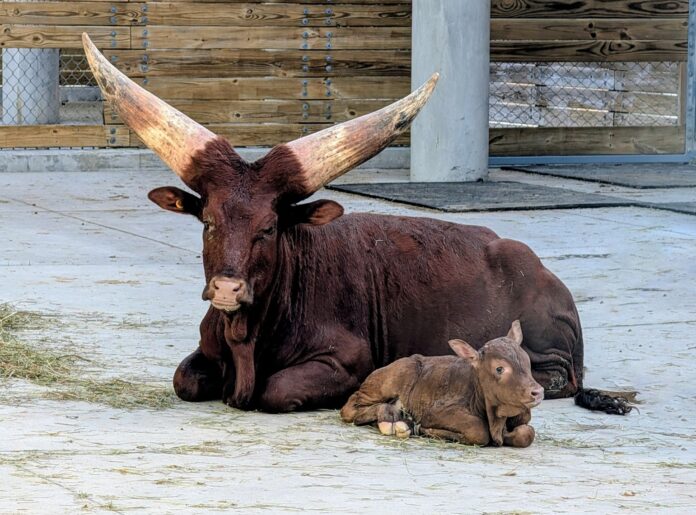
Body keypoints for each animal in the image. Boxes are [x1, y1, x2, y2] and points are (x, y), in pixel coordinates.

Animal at [83, 34, 628, 415]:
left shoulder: (346, 360)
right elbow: (185, 379)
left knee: (557, 379)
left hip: (547, 351)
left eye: (269, 228)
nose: (227, 289)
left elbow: (275, 390)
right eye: (209, 222)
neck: (248, 331)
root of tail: (540, 269)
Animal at [341, 321, 542, 447]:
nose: (538, 391)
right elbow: (478, 430)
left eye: (527, 361)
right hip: (388, 380)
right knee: (349, 407)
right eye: (499, 369)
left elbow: (527, 433)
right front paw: (423, 429)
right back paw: (391, 417)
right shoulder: (435, 411)